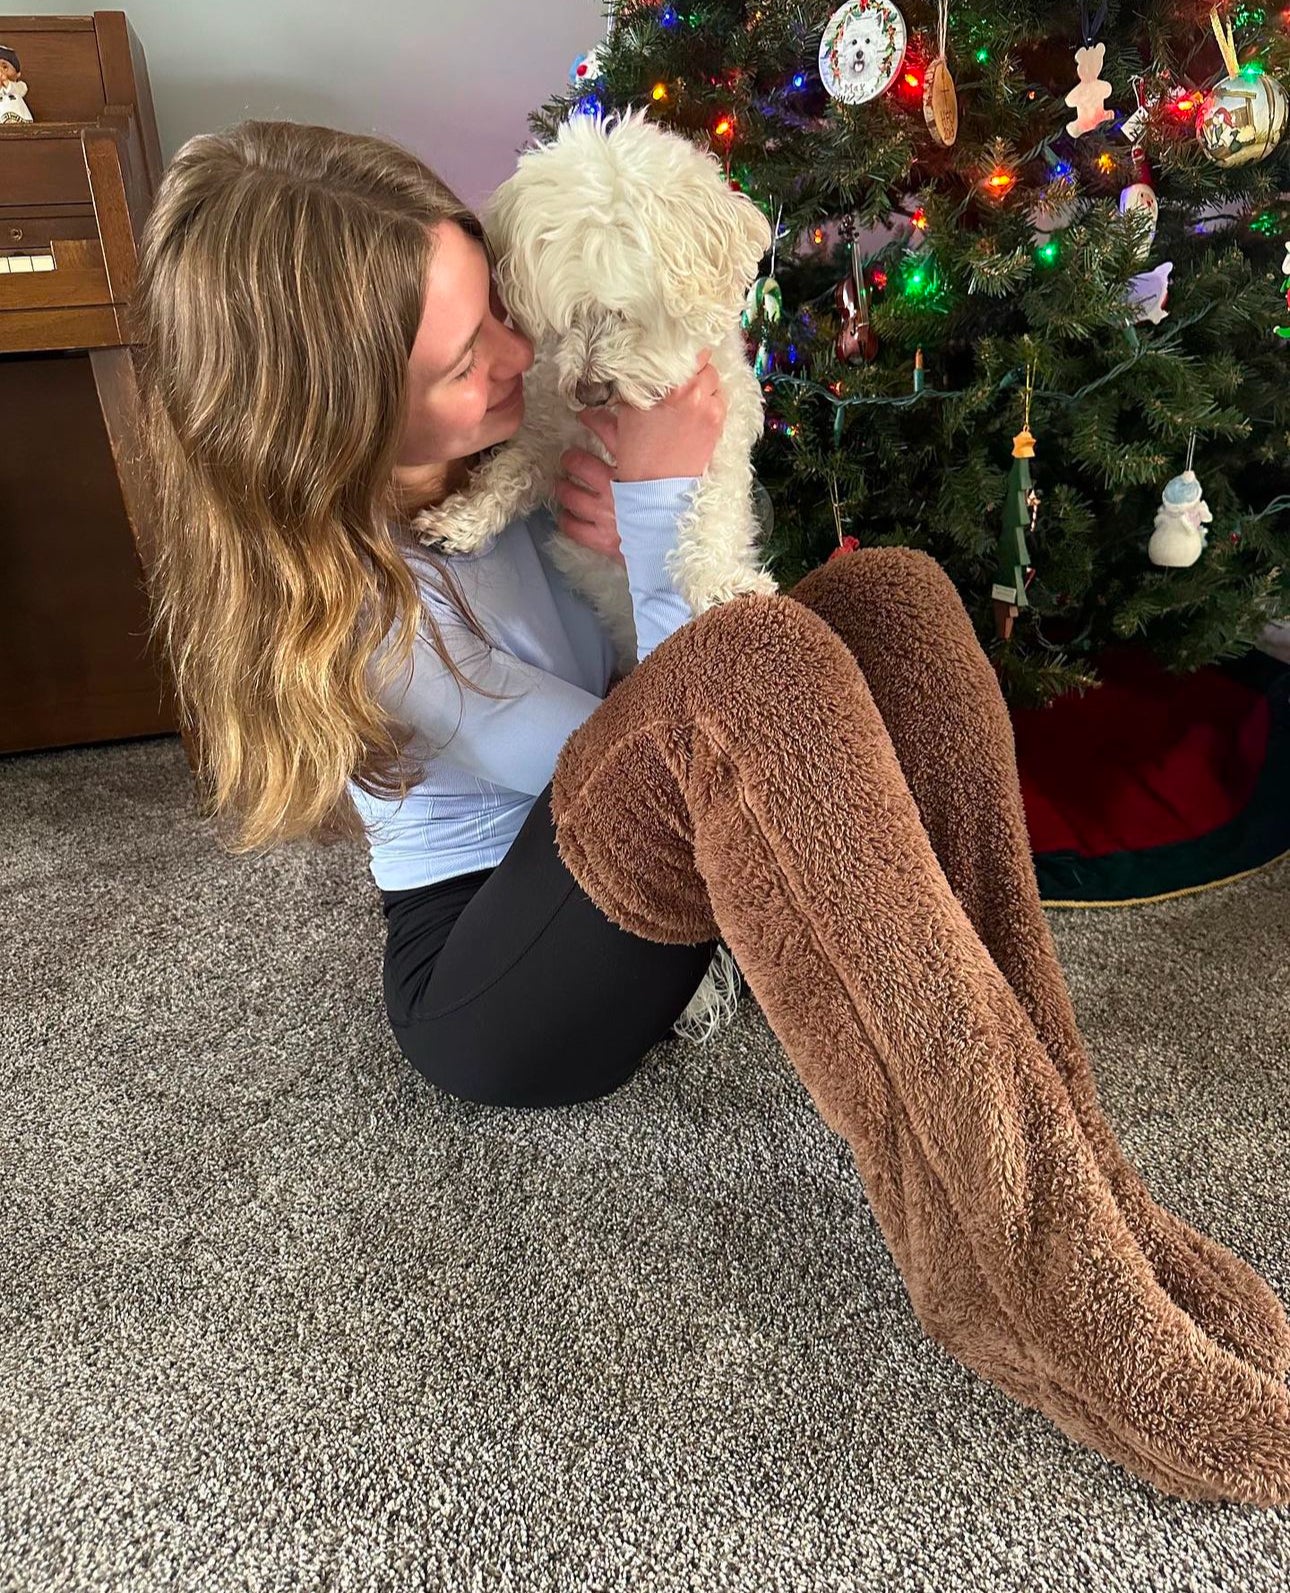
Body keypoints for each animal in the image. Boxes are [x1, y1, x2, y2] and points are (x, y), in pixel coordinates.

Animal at [410, 105, 780, 680]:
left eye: (626, 311)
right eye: (568, 316)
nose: (590, 391)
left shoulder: (720, 452)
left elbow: (709, 516)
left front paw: (723, 584)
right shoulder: (546, 439)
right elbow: (505, 474)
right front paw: (459, 522)